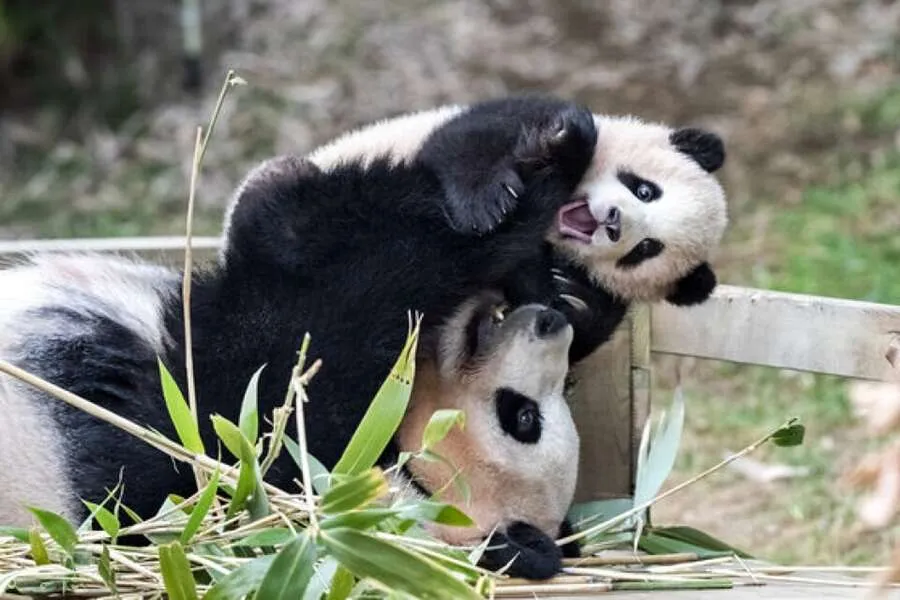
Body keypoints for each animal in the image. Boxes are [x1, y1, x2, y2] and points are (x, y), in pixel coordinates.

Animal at [306, 96, 728, 362]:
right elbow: (468, 141)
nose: (613, 221)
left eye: (646, 248)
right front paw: (486, 203)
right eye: (645, 190)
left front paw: (572, 295)